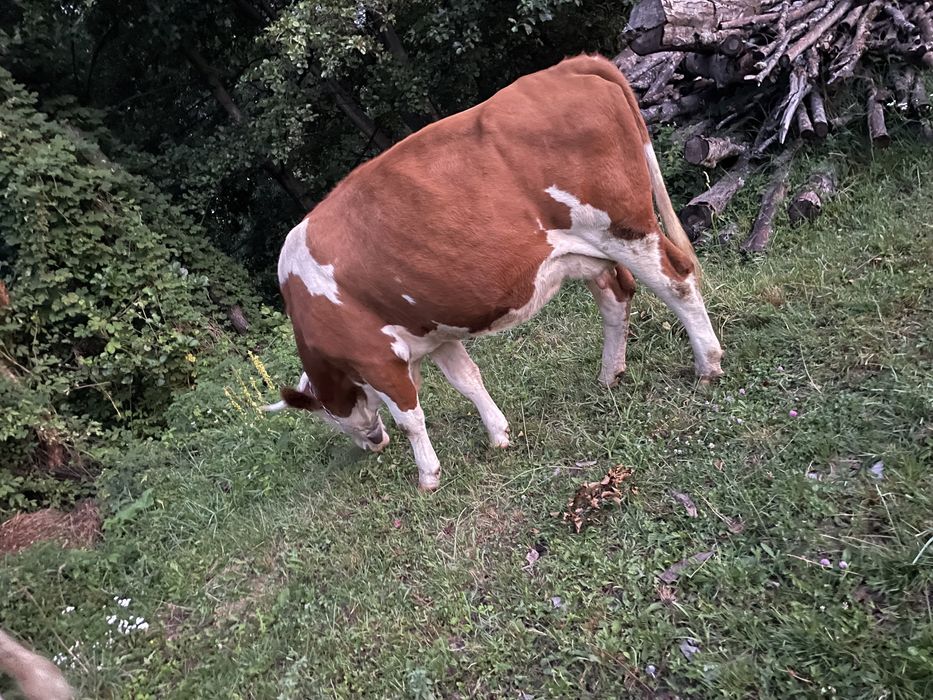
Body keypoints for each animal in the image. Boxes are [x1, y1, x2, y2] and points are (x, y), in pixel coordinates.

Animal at [264, 55, 724, 490]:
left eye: (327, 416)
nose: (373, 444)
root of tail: (567, 67)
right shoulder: (435, 333)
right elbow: (469, 380)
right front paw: (498, 434)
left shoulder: (376, 356)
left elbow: (410, 417)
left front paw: (428, 476)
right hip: (593, 250)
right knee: (616, 297)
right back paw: (610, 374)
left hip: (624, 228)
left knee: (677, 282)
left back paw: (708, 366)